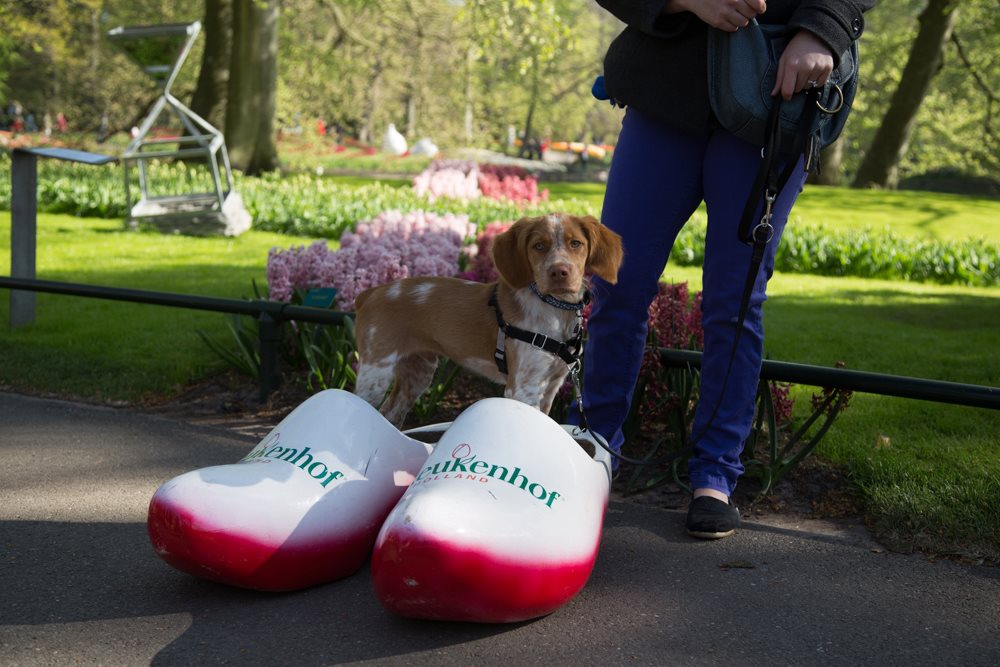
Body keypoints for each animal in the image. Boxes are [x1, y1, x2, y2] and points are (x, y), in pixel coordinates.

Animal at [356, 214, 620, 428]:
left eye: (576, 243)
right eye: (538, 246)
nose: (559, 272)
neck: (556, 311)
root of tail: (371, 292)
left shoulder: (552, 385)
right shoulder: (523, 387)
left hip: (417, 372)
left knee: (390, 414)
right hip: (375, 372)